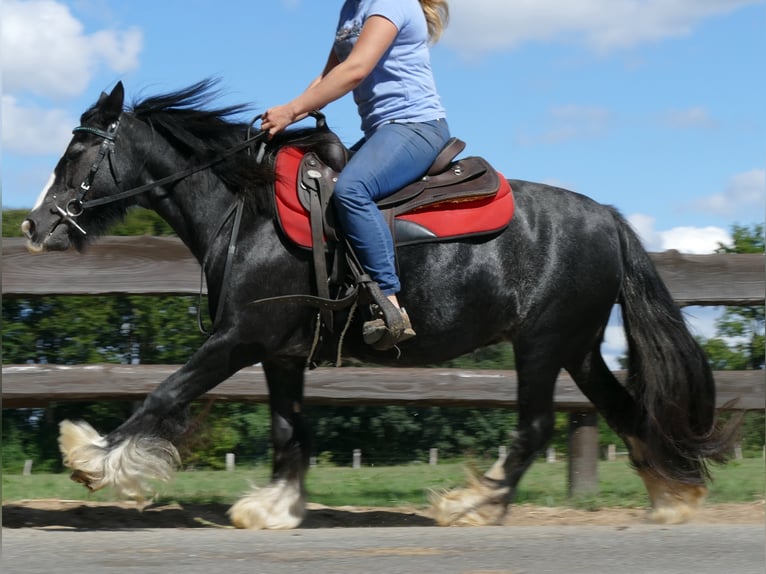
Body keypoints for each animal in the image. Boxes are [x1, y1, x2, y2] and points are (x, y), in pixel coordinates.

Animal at [21, 80, 736, 532]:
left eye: (79, 151)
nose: (33, 225)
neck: (247, 212)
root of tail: (608, 218)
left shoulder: (239, 338)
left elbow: (162, 395)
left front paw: (90, 459)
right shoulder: (281, 355)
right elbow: (289, 432)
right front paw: (275, 508)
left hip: (542, 345)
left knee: (534, 429)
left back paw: (471, 506)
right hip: (578, 348)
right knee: (624, 411)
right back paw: (673, 495)